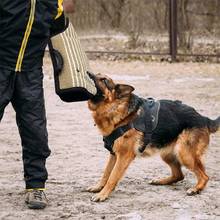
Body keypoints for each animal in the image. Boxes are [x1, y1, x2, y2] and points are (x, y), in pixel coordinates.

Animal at [87, 73, 219, 202]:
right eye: (96, 74)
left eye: (104, 80)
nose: (88, 74)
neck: (116, 107)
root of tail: (203, 118)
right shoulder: (114, 154)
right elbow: (106, 173)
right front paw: (98, 187)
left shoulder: (124, 156)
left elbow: (113, 176)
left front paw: (102, 194)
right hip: (167, 154)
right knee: (179, 175)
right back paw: (160, 181)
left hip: (185, 154)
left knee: (204, 176)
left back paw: (196, 189)